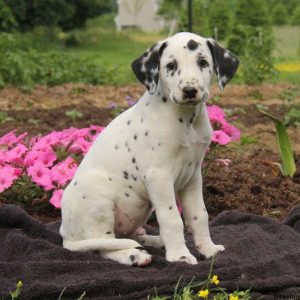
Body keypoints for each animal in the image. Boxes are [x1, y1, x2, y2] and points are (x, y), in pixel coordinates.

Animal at [60, 32, 239, 266]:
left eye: (203, 62)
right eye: (171, 65)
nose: (190, 90)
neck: (186, 121)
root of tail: (65, 235)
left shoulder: (192, 176)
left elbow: (199, 215)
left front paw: (208, 249)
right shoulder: (159, 177)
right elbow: (172, 218)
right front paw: (180, 255)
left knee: (129, 236)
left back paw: (155, 241)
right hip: (97, 198)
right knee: (103, 246)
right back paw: (134, 255)